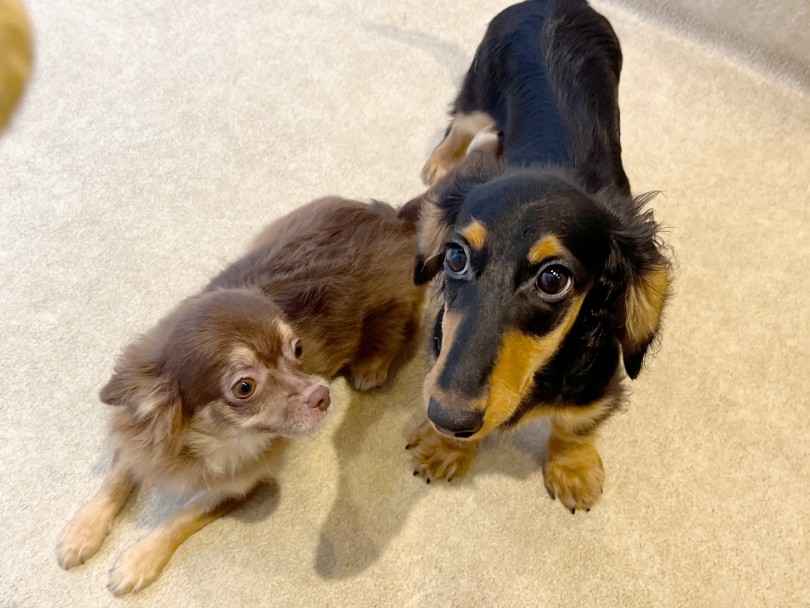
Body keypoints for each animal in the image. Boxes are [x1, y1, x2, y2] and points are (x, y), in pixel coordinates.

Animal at [57, 196, 424, 594]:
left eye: (298, 350)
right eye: (244, 387)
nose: (322, 394)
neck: (203, 442)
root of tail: (393, 215)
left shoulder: (237, 486)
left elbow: (181, 517)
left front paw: (140, 559)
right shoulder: (139, 435)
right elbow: (115, 480)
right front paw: (82, 530)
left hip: (393, 305)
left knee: (405, 326)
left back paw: (372, 365)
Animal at [407, 0, 672, 513]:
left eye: (554, 279)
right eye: (455, 258)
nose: (446, 417)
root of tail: (556, 4)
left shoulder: (598, 377)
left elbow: (576, 424)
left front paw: (574, 469)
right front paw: (444, 447)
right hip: (480, 88)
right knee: (461, 123)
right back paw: (443, 161)